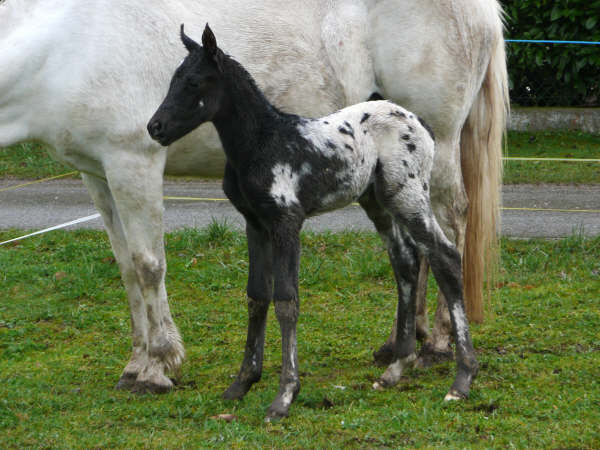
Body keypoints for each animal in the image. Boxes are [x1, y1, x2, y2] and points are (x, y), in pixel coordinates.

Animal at [149, 23, 478, 418]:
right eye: (174, 78)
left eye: (195, 82)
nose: (155, 127)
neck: (262, 143)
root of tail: (421, 123)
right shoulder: (255, 224)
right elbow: (256, 295)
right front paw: (242, 383)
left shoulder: (287, 224)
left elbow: (286, 301)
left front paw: (284, 395)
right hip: (379, 203)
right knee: (406, 262)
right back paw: (396, 369)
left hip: (409, 197)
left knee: (446, 256)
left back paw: (462, 379)